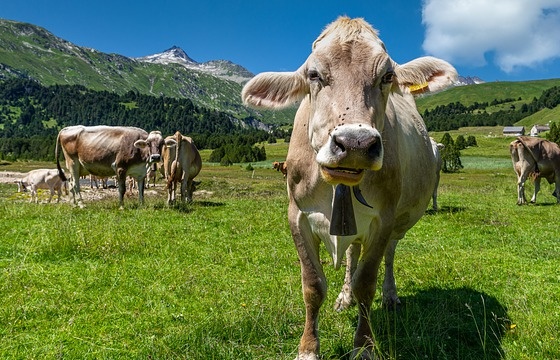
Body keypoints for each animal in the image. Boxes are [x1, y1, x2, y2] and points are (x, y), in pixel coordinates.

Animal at [243, 16, 458, 360]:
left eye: (387, 76)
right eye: (314, 74)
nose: (355, 143)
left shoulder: (383, 219)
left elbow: (366, 283)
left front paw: (364, 345)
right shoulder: (297, 216)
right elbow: (313, 285)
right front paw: (308, 348)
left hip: (399, 223)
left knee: (389, 256)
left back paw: (390, 295)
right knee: (351, 255)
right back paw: (344, 297)